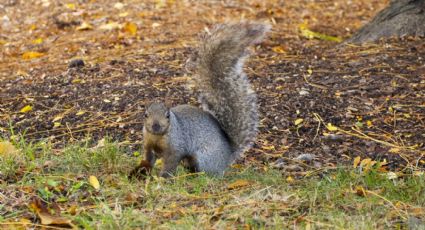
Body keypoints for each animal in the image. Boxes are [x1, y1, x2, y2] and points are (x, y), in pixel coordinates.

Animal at [127, 21, 270, 179]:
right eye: (145, 115)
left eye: (167, 115)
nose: (156, 125)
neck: (157, 137)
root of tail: (227, 155)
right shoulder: (148, 144)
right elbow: (148, 160)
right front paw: (139, 171)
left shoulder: (176, 146)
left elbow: (171, 162)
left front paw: (163, 177)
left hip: (204, 159)